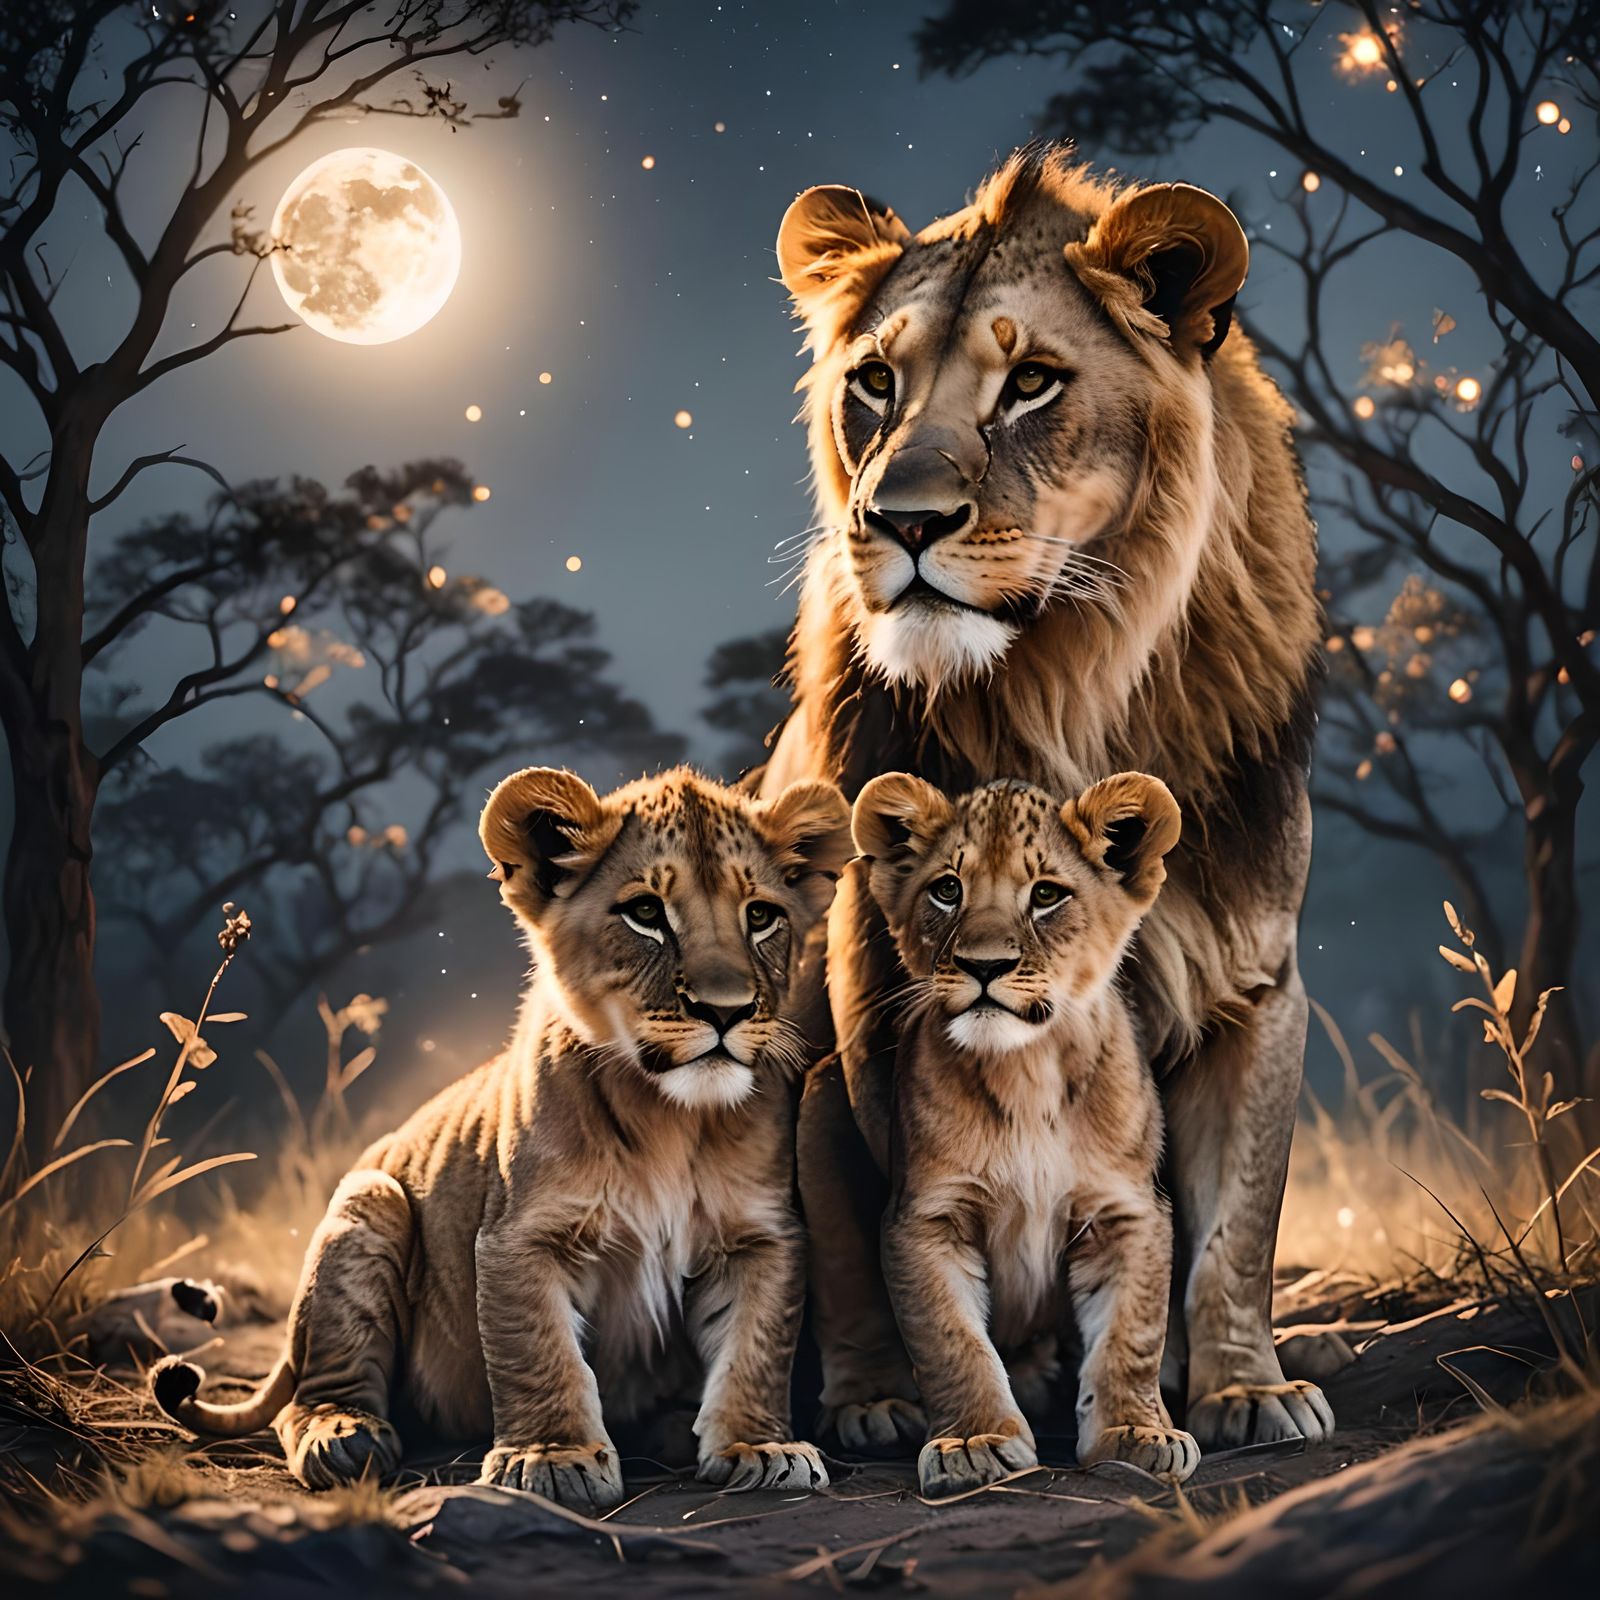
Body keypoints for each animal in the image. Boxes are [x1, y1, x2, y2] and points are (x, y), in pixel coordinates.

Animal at [152, 766, 852, 1509]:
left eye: (761, 917)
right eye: (646, 913)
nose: (727, 1012)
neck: (671, 1116)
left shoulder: (761, 1236)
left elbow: (757, 1348)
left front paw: (761, 1446)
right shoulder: (522, 1235)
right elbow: (538, 1352)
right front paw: (554, 1458)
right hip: (370, 1199)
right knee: (303, 1398)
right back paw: (342, 1436)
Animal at [854, 769, 1205, 1493]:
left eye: (1046, 895)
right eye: (947, 889)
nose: (983, 965)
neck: (1026, 1067)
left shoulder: (1128, 1211)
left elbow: (1131, 1336)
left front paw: (1139, 1435)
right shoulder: (925, 1217)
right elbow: (951, 1339)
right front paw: (975, 1442)